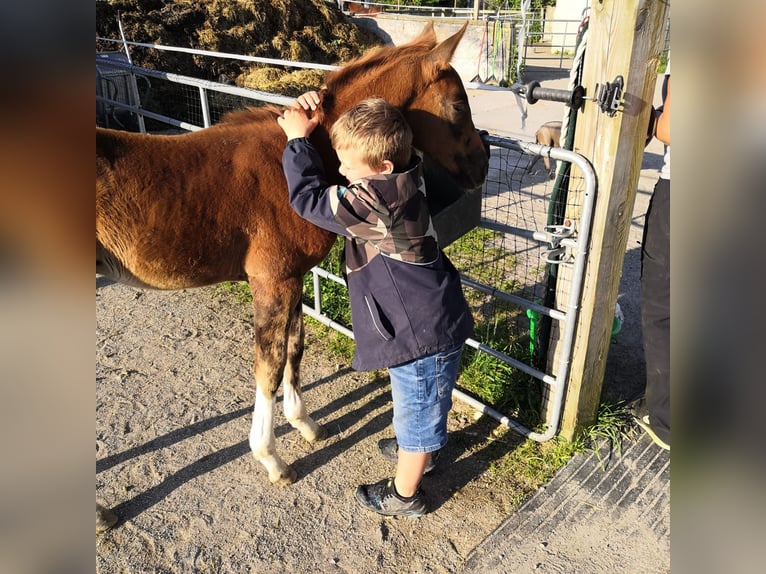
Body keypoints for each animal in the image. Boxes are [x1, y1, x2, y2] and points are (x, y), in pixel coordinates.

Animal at [97, 20, 486, 532]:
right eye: (458, 104)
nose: (482, 165)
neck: (293, 160)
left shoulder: (294, 278)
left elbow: (295, 350)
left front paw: (306, 425)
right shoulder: (272, 280)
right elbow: (268, 365)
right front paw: (272, 460)